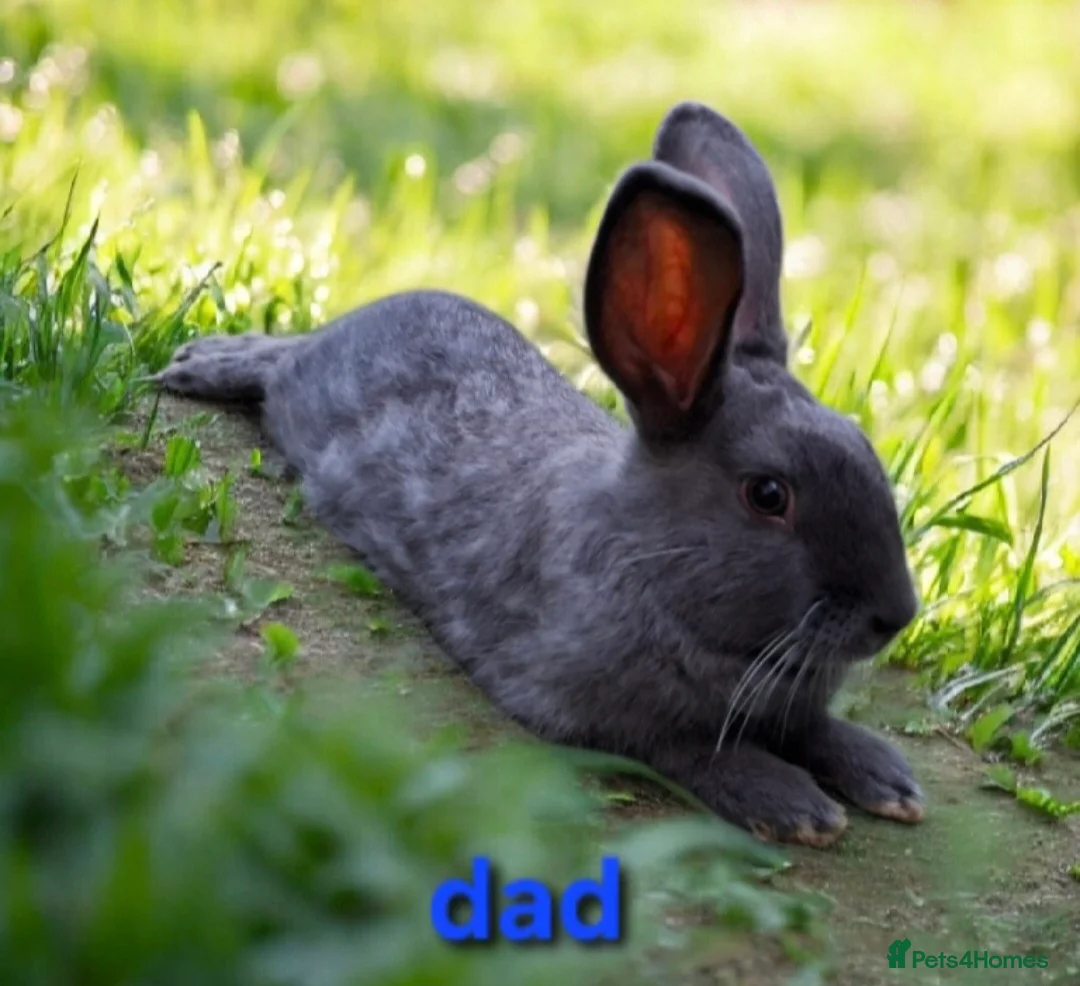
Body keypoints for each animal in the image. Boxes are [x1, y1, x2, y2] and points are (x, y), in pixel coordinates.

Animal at [157, 101, 923, 847]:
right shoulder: (590, 704)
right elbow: (690, 749)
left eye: (866, 449)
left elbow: (813, 729)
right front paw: (796, 807)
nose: (895, 615)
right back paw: (197, 365)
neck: (650, 563)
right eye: (768, 495)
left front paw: (888, 779)